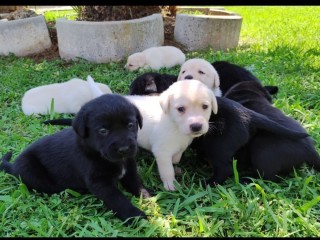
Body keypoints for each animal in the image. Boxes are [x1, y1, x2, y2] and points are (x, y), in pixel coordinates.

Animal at [1, 93, 151, 225]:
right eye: (103, 131)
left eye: (130, 125)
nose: (124, 149)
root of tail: (13, 166)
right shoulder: (99, 182)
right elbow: (118, 199)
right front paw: (135, 216)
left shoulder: (130, 169)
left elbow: (136, 183)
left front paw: (148, 195)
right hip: (30, 170)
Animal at [87, 79, 218, 191]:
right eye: (181, 109)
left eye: (205, 106)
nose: (196, 126)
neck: (173, 124)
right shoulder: (162, 152)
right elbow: (167, 170)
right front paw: (170, 183)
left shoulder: (180, 146)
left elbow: (176, 157)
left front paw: (176, 165)